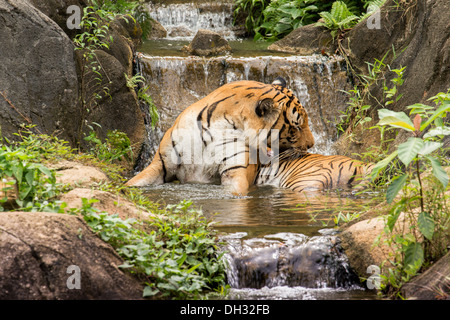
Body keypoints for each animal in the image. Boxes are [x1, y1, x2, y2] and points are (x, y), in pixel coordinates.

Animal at [125, 79, 316, 196]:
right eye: (297, 126)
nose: (311, 144)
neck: (217, 128)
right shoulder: (161, 164)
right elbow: (134, 182)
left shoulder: (235, 171)